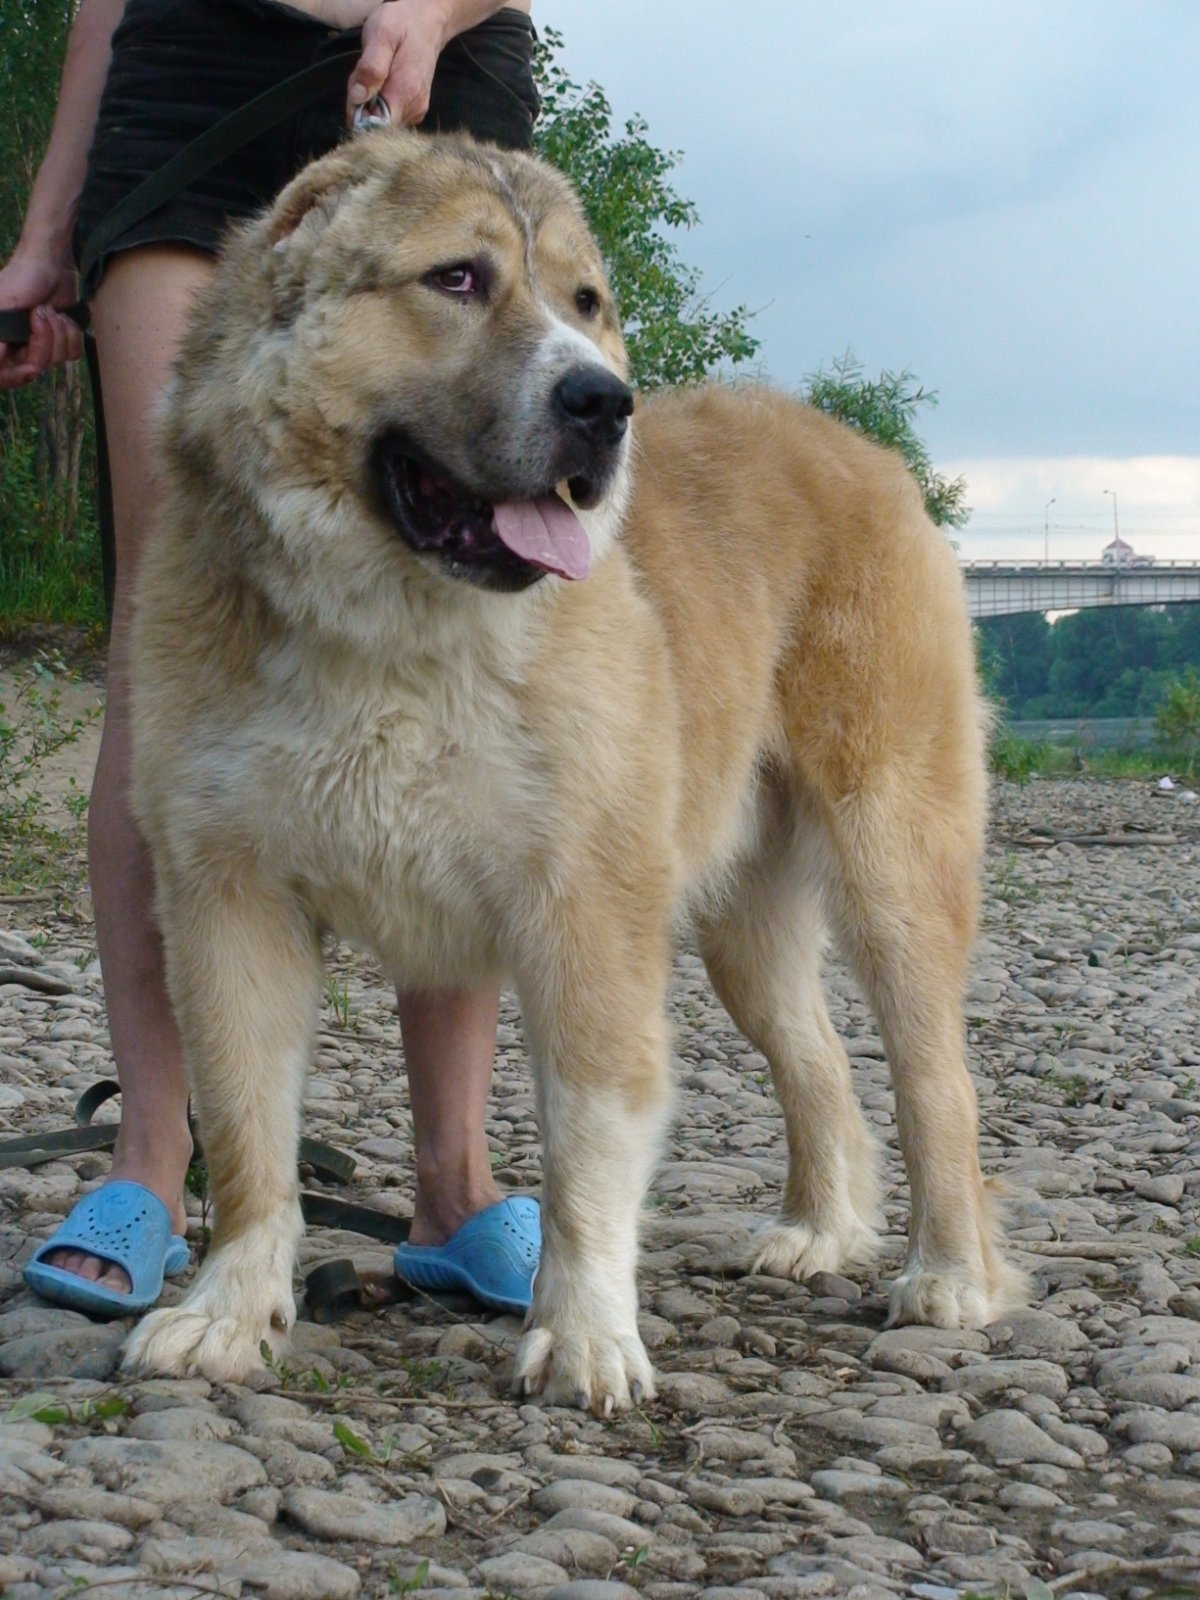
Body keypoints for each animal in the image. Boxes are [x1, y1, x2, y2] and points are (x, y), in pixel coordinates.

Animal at [120, 131, 1024, 1408]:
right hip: (743, 930)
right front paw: (229, 1310)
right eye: (456, 278)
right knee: (820, 1067)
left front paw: (586, 1330)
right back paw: (820, 1229)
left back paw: (949, 1275)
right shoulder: (227, 902)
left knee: (934, 1081)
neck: (399, 631)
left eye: (587, 303)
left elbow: (588, 1142)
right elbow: (248, 1136)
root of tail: (860, 450)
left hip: (892, 870)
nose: (604, 403)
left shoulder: (584, 911)